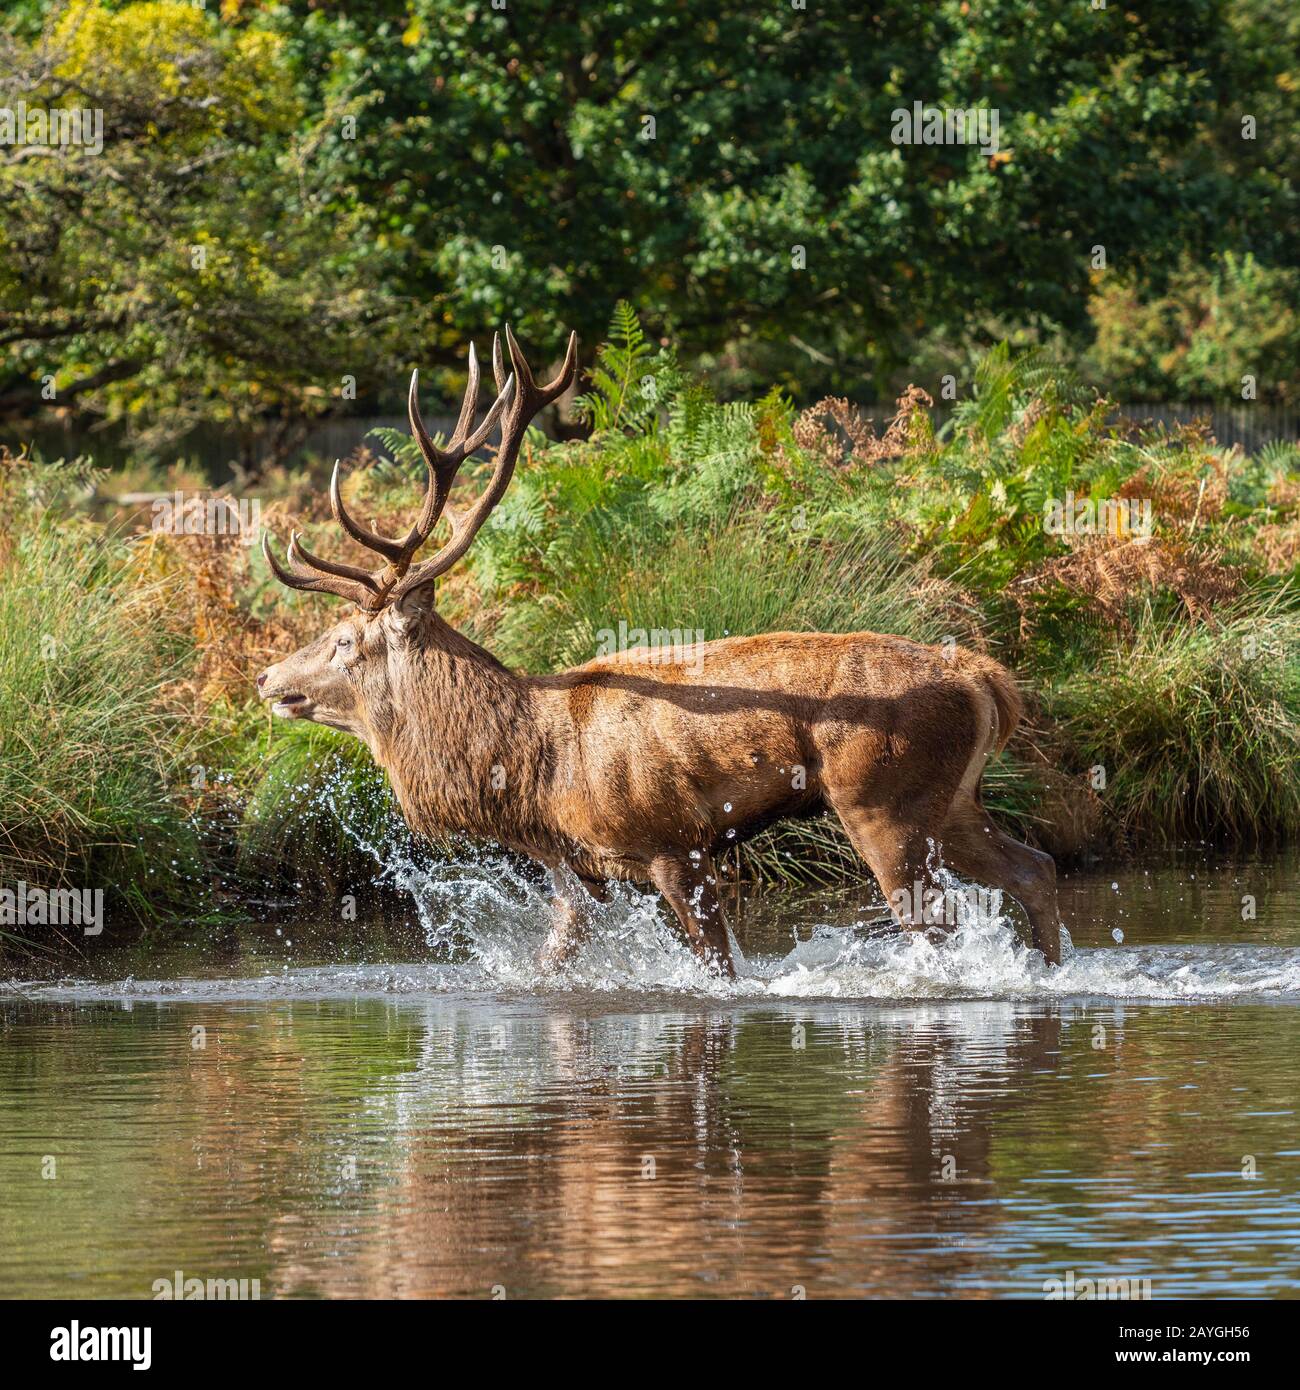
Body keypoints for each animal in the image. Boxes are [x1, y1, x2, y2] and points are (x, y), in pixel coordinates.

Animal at [256, 329, 1063, 978]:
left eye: (344, 640)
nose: (266, 677)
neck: (532, 768)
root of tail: (987, 680)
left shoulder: (675, 844)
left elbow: (720, 971)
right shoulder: (578, 871)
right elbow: (555, 960)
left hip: (883, 798)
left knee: (937, 920)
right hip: (953, 799)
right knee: (1036, 866)